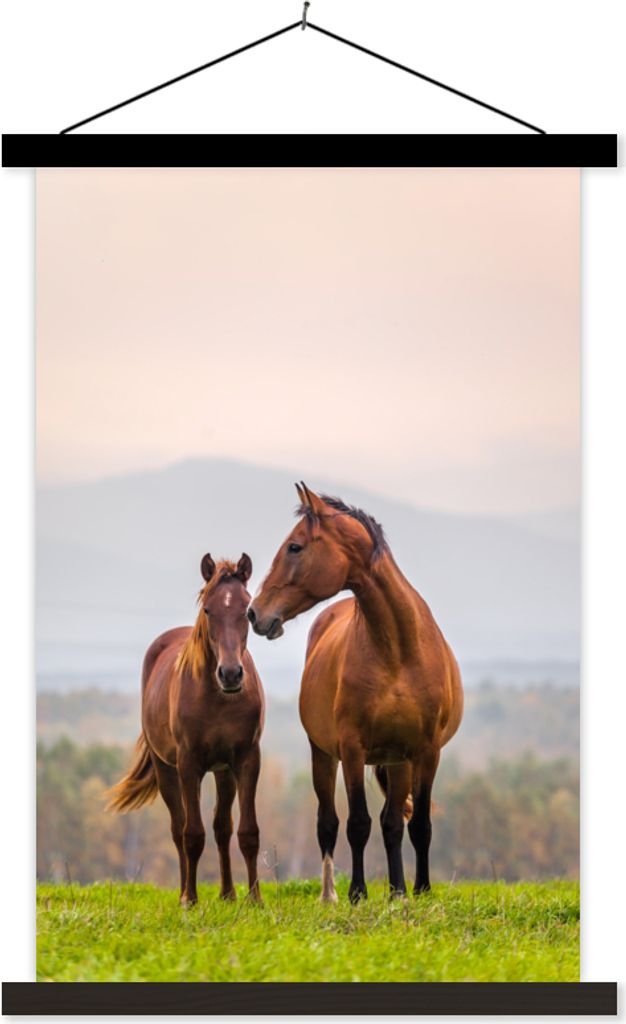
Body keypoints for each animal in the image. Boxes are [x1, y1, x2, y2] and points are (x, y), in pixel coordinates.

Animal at [106, 553, 264, 906]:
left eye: (246, 609)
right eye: (208, 609)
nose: (230, 674)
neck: (218, 698)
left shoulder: (247, 760)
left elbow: (247, 832)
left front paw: (255, 900)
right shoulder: (189, 764)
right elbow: (192, 834)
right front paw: (190, 899)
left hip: (222, 771)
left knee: (222, 827)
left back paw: (228, 894)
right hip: (167, 769)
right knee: (178, 828)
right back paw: (183, 892)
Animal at [248, 483, 463, 904]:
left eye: (295, 547)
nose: (254, 613)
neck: (398, 650)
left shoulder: (425, 751)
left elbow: (418, 824)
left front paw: (419, 889)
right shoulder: (351, 748)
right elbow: (357, 823)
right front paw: (357, 893)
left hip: (398, 762)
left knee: (393, 821)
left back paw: (397, 890)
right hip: (323, 755)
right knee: (328, 823)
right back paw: (329, 894)